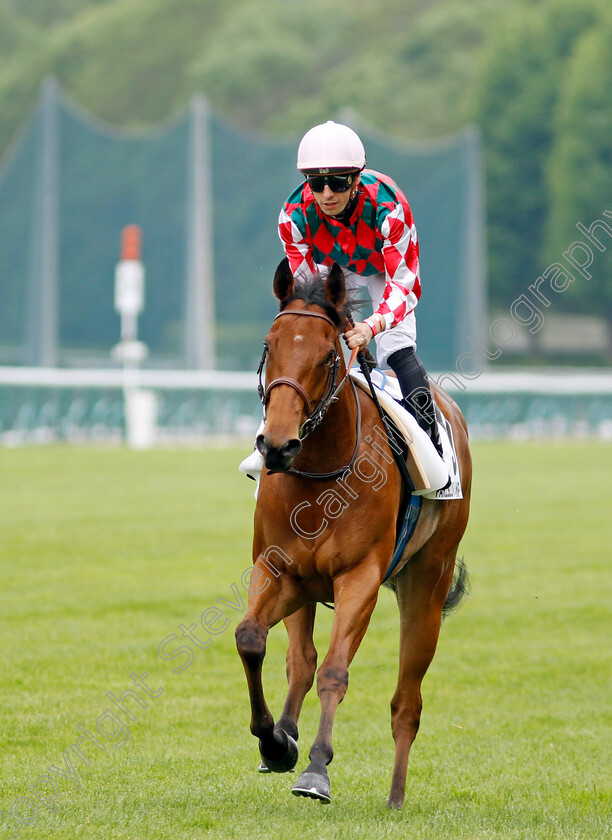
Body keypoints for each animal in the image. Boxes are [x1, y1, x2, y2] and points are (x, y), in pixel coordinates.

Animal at [235, 260, 474, 812]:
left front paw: (316, 770)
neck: (321, 474)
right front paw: (275, 742)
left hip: (427, 583)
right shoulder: (279, 570)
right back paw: (284, 736)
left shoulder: (359, 577)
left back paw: (396, 797)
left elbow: (335, 672)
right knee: (300, 660)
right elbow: (252, 638)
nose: (277, 445)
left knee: (407, 702)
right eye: (269, 344)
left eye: (327, 355)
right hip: (306, 588)